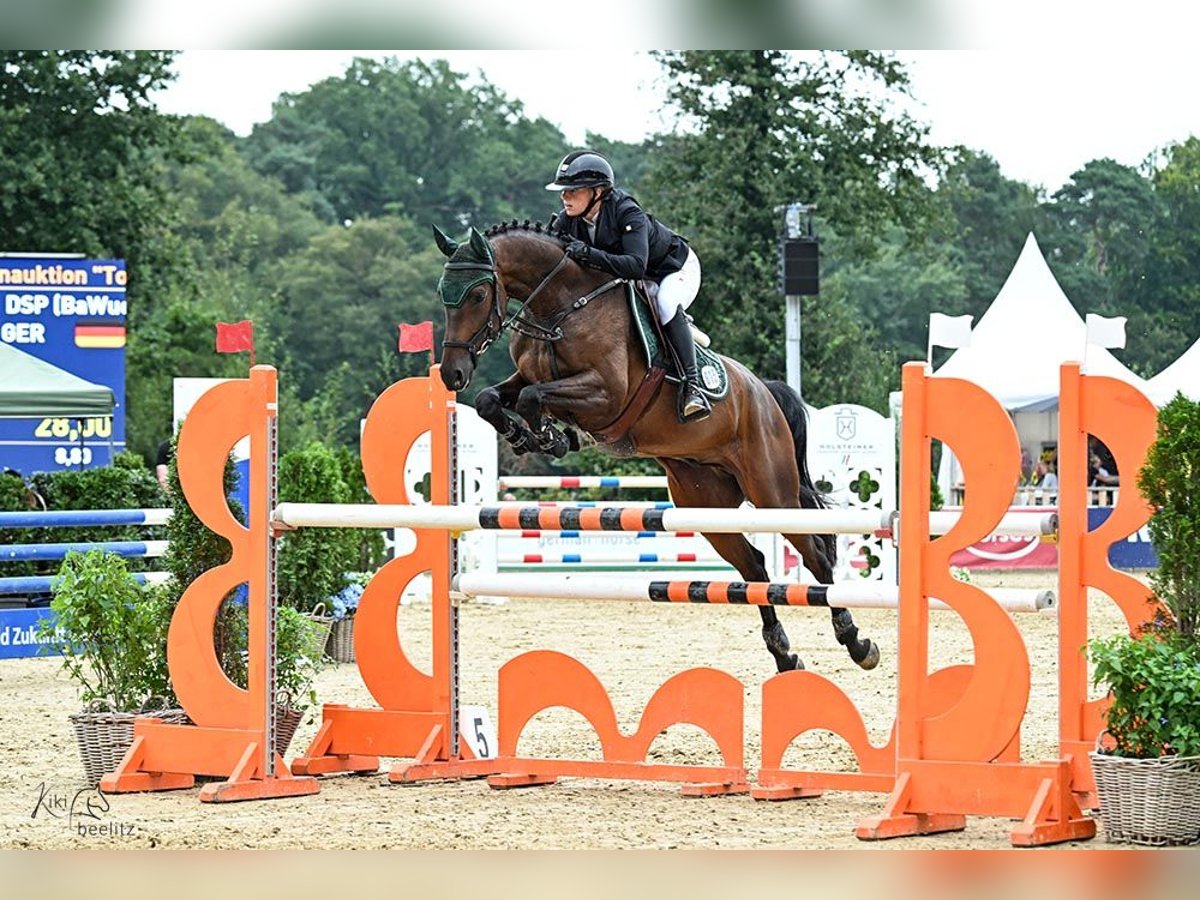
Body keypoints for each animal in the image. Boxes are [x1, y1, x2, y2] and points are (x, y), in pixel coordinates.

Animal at [434, 222, 883, 672]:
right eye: (443, 294)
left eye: (478, 295)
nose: (452, 374)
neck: (560, 308)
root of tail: (763, 392)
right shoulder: (528, 378)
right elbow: (492, 399)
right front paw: (530, 435)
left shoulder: (605, 395)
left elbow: (533, 398)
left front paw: (550, 435)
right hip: (704, 503)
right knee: (754, 565)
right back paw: (784, 654)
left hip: (772, 492)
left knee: (815, 555)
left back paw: (857, 643)